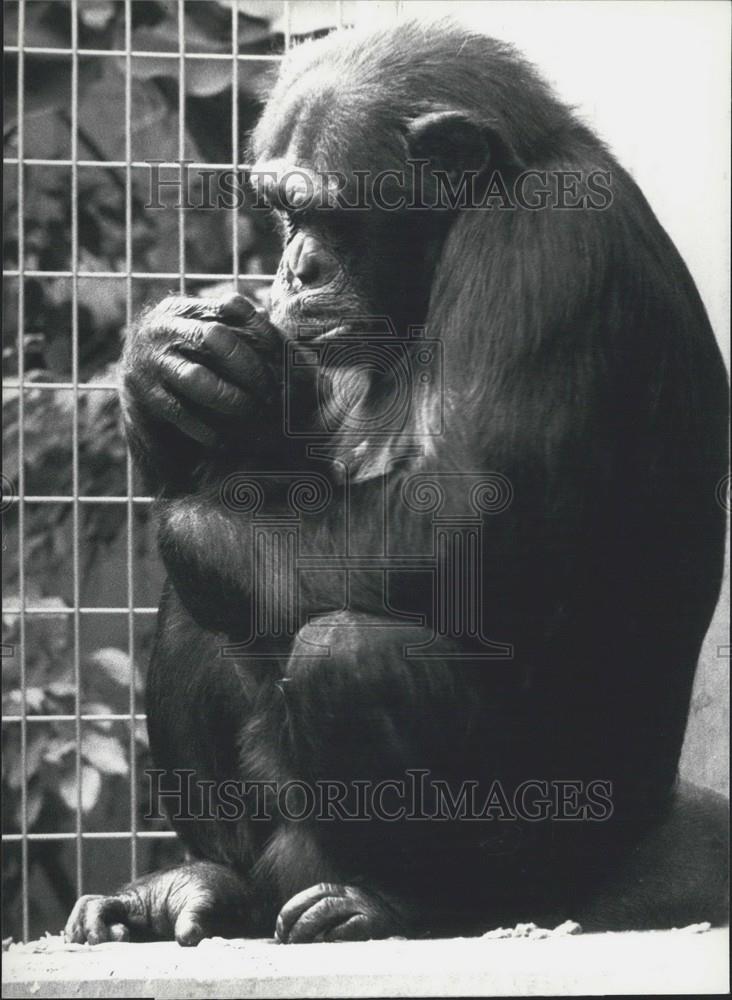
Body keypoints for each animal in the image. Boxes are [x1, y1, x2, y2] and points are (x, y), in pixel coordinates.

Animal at [66, 17, 728, 944]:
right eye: (282, 209)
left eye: (324, 210)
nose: (295, 267)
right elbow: (279, 475)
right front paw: (164, 359)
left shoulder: (547, 243)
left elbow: (458, 521)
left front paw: (183, 517)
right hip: (283, 835)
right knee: (211, 604)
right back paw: (204, 886)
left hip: (552, 843)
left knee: (345, 650)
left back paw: (401, 901)